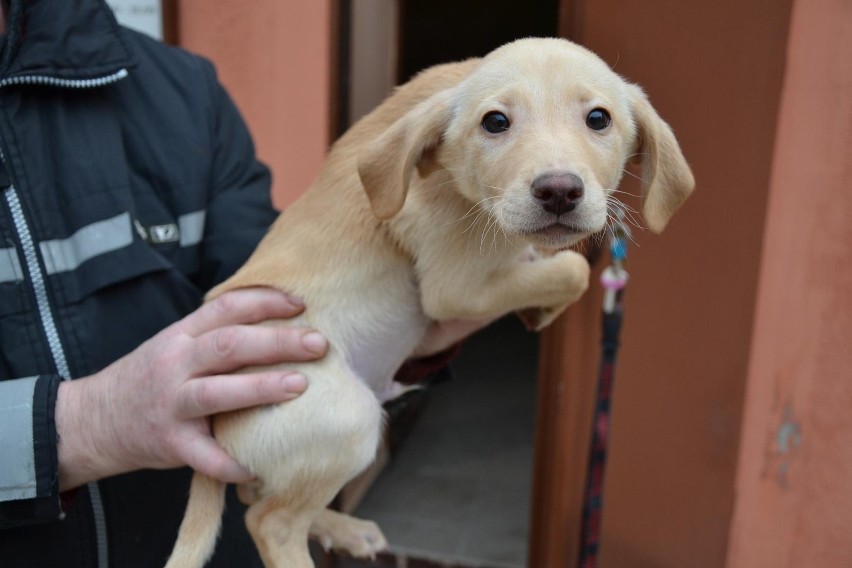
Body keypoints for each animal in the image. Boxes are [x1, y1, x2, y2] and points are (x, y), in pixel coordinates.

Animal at [165, 38, 692, 568]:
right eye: (495, 122)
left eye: (598, 118)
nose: (560, 191)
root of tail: (216, 424)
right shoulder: (454, 287)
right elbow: (573, 270)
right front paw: (544, 301)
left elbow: (556, 264)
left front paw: (539, 305)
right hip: (347, 417)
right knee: (269, 520)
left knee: (255, 494)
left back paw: (346, 529)